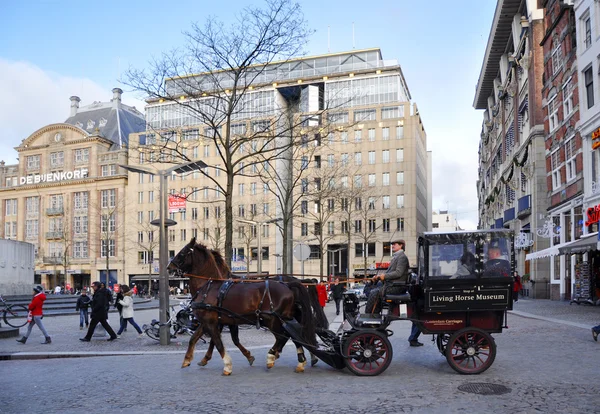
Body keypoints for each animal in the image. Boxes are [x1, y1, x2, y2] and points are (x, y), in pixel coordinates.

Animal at [168, 239, 318, 376]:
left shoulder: (212, 322)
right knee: (295, 336)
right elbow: (195, 338)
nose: (169, 268)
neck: (208, 287)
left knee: (284, 337)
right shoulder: (211, 322)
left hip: (272, 320)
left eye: (182, 253)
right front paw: (188, 360)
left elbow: (218, 342)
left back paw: (272, 357)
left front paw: (227, 365)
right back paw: (300, 361)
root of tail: (289, 284)